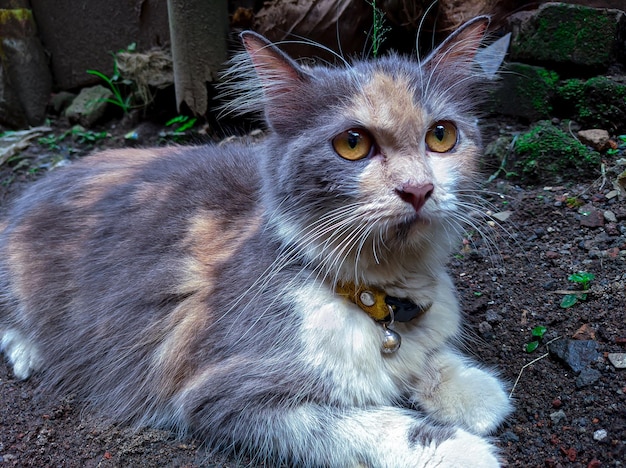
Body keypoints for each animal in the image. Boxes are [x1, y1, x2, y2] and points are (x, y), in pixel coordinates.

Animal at [1, 17, 512, 468]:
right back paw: (29, 353)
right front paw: (461, 449)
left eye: (441, 135)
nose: (418, 189)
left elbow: (431, 358)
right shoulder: (224, 394)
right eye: (352, 144)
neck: (375, 295)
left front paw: (473, 390)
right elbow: (369, 424)